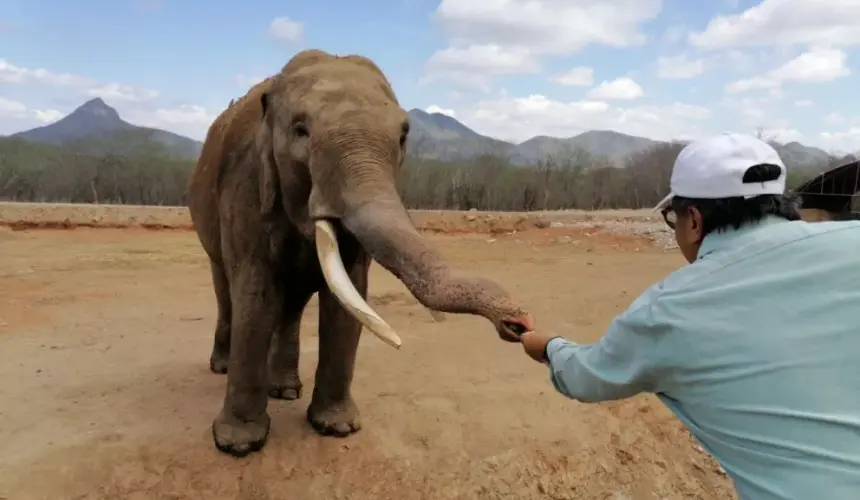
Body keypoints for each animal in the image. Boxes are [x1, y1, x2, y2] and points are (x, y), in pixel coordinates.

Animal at [187, 49, 536, 458]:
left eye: (403, 135)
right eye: (300, 130)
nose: (519, 323)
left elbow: (349, 295)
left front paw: (336, 428)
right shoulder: (247, 188)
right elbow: (256, 293)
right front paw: (237, 446)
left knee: (292, 304)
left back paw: (285, 391)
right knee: (226, 287)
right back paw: (223, 368)